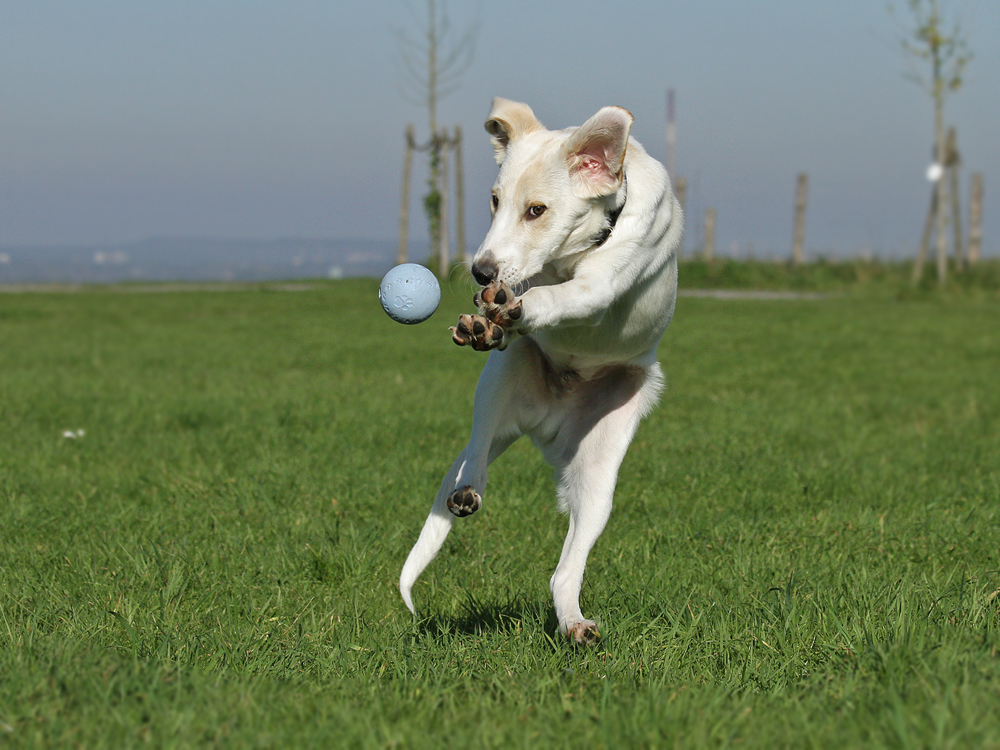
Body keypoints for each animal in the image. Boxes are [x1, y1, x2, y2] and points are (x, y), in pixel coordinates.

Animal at [402, 97, 684, 644]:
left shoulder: (598, 285)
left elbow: (555, 298)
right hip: (501, 378)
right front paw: (487, 319)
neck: (575, 251)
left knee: (563, 572)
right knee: (478, 448)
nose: (481, 273)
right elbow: (524, 300)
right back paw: (467, 488)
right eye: (494, 201)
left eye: (537, 210)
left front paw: (514, 307)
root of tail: (547, 423)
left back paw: (574, 624)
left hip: (597, 483)